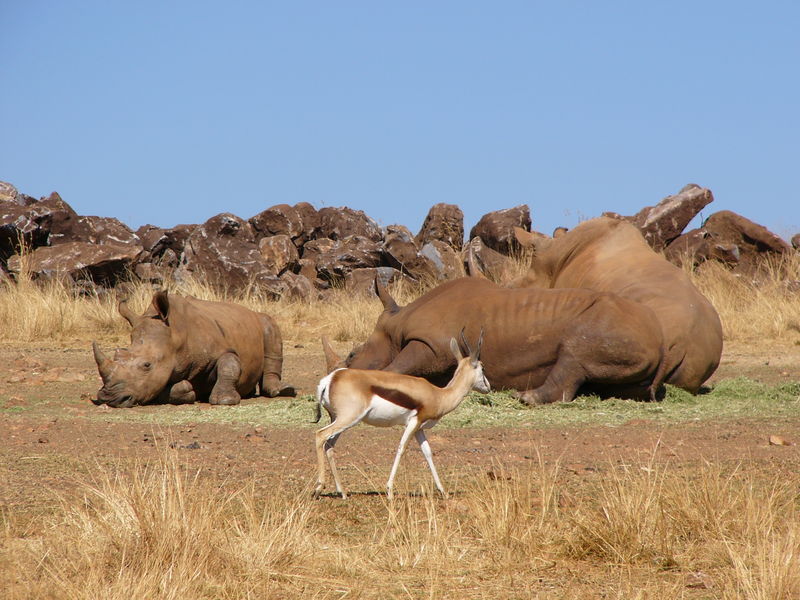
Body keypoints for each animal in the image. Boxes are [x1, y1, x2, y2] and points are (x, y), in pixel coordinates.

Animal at [93, 290, 290, 408]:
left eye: (147, 365)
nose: (109, 398)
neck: (176, 337)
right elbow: (167, 389)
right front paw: (188, 390)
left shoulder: (223, 348)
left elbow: (229, 364)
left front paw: (225, 400)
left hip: (260, 318)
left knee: (269, 327)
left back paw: (281, 390)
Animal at [330, 276, 664, 404]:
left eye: (352, 355)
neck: (396, 327)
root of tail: (662, 340)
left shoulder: (432, 345)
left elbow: (397, 367)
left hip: (612, 324)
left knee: (574, 353)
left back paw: (524, 398)